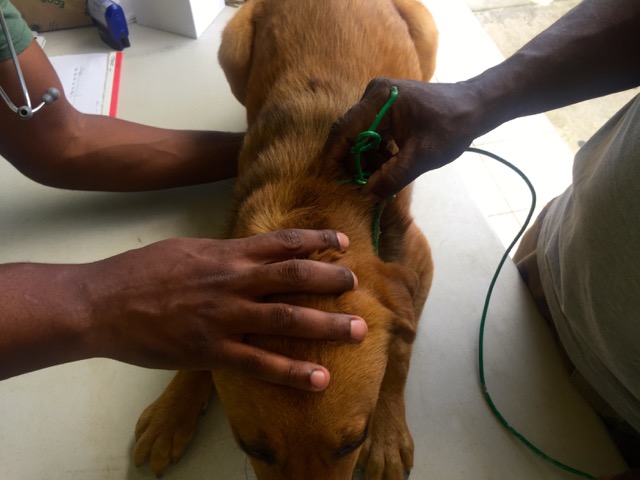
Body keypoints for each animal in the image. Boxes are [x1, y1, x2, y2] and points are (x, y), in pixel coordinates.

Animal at [132, 1, 438, 478]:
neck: (309, 205)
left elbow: (402, 349)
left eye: (355, 441)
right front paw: (173, 409)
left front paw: (388, 434)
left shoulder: (417, 261)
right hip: (233, 47)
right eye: (253, 450)